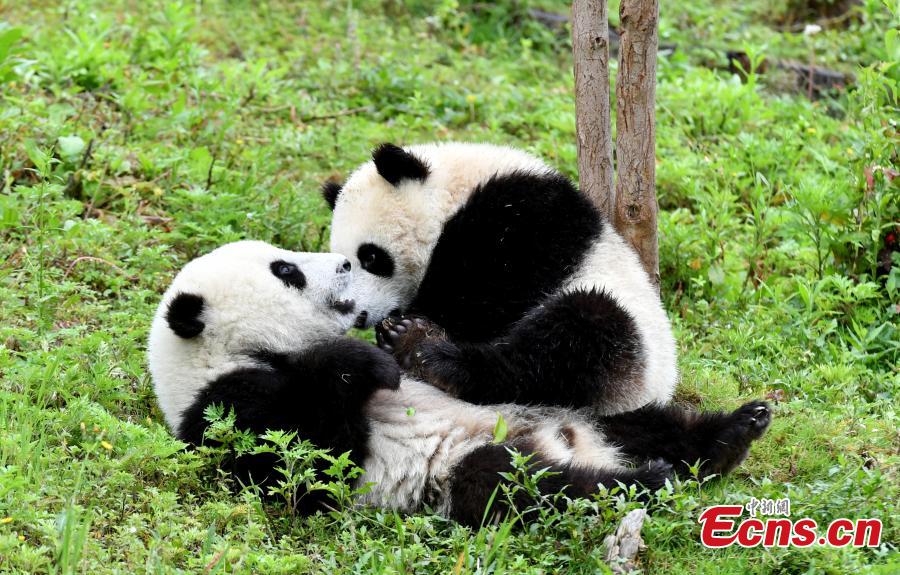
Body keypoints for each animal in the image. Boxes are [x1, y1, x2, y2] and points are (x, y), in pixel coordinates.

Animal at [147, 240, 771, 527]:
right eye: (288, 271)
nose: (345, 264)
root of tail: (574, 442)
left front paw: (400, 343)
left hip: (567, 408)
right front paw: (365, 365)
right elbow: (310, 464)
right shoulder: (227, 407)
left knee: (645, 424)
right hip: (464, 468)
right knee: (520, 485)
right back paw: (644, 482)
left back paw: (733, 433)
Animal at [324, 142, 677, 415]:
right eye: (345, 265)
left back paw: (431, 354)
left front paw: (416, 321)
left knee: (571, 339)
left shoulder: (528, 217)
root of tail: (650, 397)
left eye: (371, 257)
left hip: (629, 339)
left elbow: (488, 289)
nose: (358, 314)